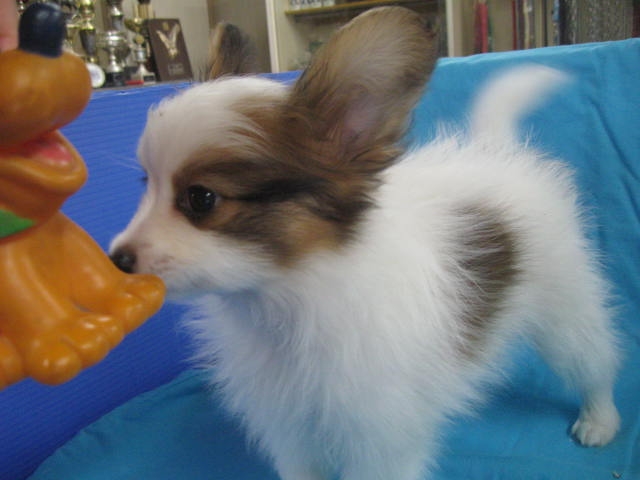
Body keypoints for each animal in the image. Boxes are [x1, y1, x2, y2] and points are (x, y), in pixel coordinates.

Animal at [110, 7, 620, 480]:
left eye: (201, 199)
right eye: (146, 185)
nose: (116, 260)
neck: (290, 299)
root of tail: (498, 155)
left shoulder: (380, 435)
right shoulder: (289, 429)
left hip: (564, 308)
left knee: (593, 359)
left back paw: (601, 419)